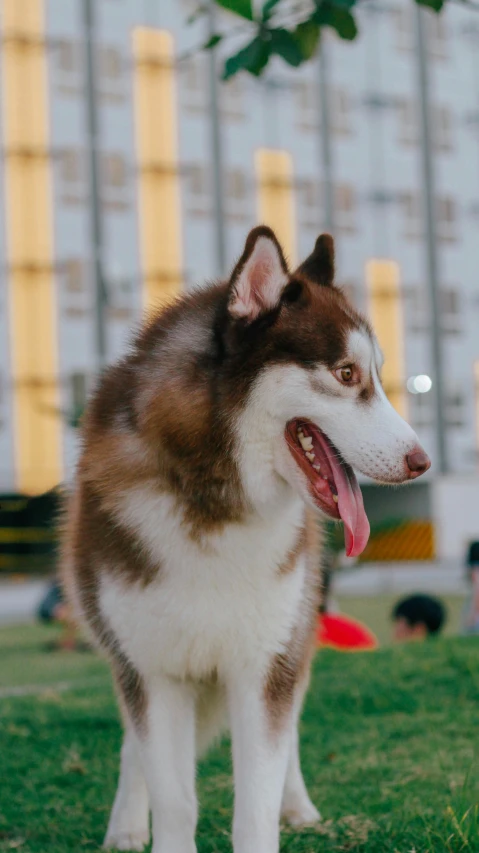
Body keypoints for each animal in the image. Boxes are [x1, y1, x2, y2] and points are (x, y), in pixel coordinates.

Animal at [62, 226, 434, 852]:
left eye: (377, 376)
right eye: (346, 374)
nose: (421, 462)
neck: (217, 498)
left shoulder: (265, 664)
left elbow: (256, 800)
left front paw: (277, 810)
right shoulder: (153, 671)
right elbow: (172, 795)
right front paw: (150, 825)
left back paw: (298, 805)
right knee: (133, 747)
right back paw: (125, 826)